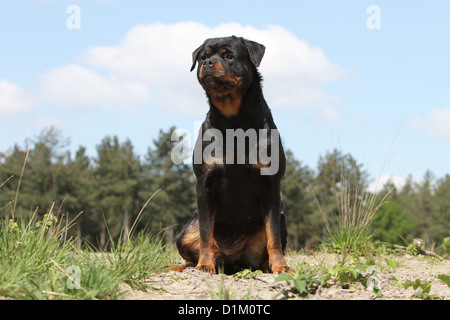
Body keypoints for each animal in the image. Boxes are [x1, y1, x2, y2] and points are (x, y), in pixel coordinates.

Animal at [174, 36, 290, 274]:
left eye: (229, 56)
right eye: (203, 56)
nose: (207, 63)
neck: (233, 120)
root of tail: (230, 261)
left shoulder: (271, 185)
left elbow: (273, 234)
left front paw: (281, 266)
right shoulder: (205, 183)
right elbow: (206, 232)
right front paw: (204, 264)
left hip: (280, 221)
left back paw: (268, 266)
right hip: (184, 234)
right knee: (190, 253)